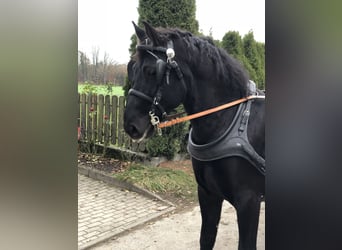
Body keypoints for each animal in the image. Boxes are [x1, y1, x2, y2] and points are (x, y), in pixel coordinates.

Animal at [124, 22, 266, 250]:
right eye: (131, 67)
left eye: (151, 71)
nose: (131, 125)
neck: (228, 122)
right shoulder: (208, 194)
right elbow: (206, 238)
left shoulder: (249, 202)